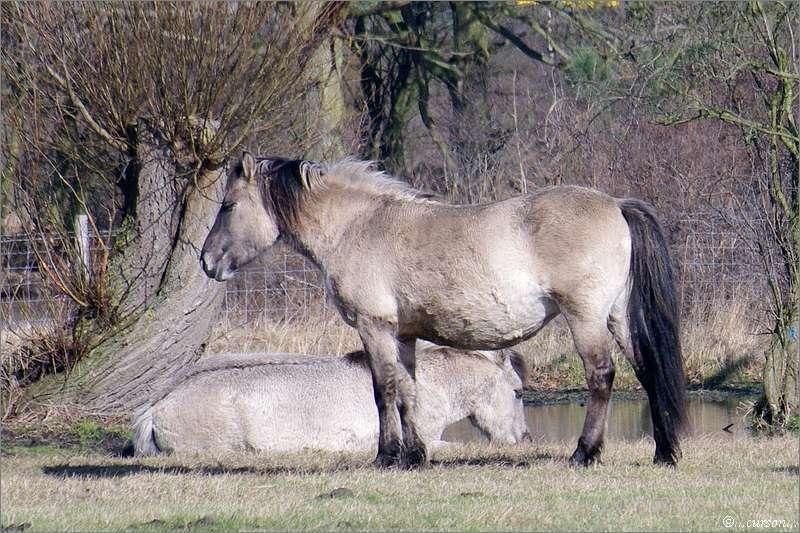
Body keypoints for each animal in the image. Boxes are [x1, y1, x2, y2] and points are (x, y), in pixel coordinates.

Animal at [200, 152, 687, 468]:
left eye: (228, 205)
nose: (207, 262)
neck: (358, 225)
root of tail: (616, 205)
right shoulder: (403, 335)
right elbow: (410, 392)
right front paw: (415, 456)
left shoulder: (374, 329)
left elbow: (383, 390)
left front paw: (387, 457)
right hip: (617, 317)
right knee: (647, 371)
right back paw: (664, 453)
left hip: (585, 318)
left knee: (602, 376)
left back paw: (584, 453)